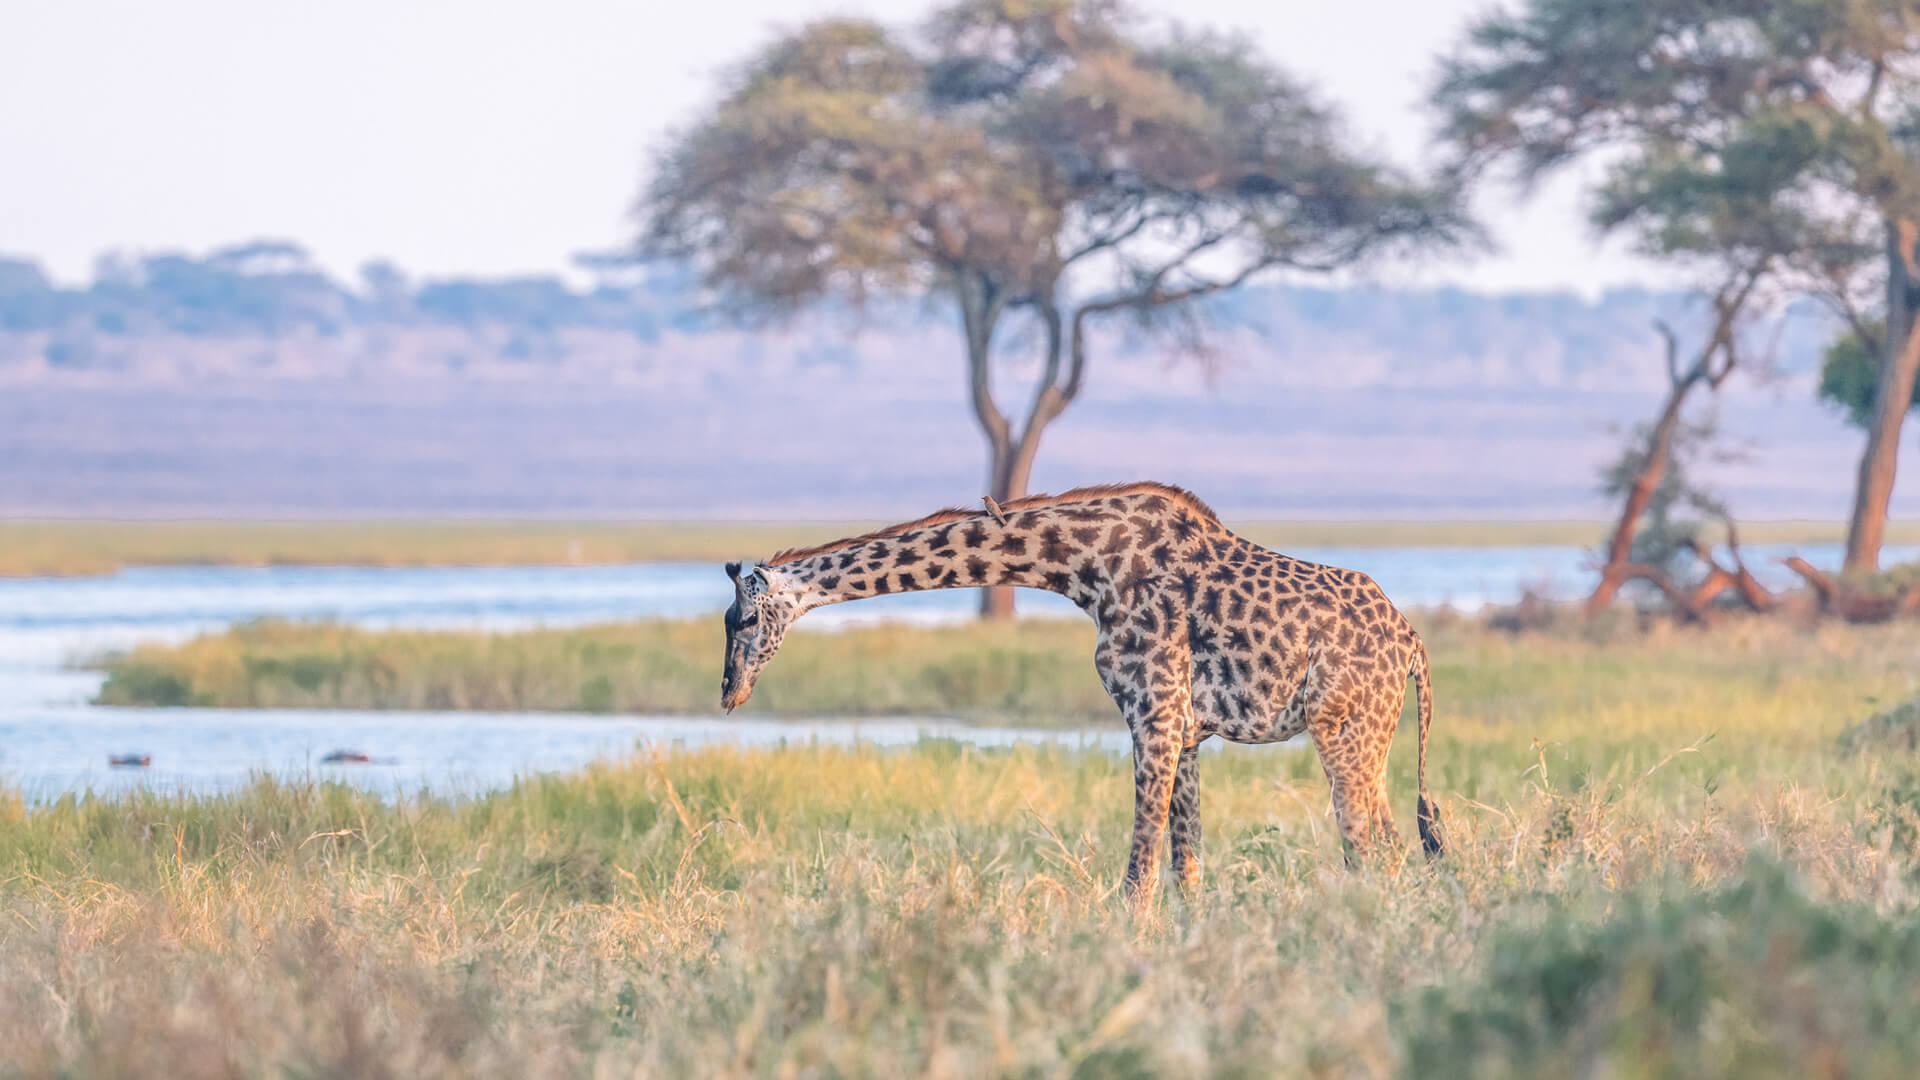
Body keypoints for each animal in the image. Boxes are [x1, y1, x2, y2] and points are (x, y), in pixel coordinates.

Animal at [719, 482, 1444, 904]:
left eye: (745, 620)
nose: (729, 693)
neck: (1084, 567)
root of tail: (1412, 642)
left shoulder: (1153, 715)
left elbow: (1138, 874)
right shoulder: (1184, 730)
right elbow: (1185, 870)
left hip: (1344, 733)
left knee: (1371, 850)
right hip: (1369, 739)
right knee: (1392, 847)